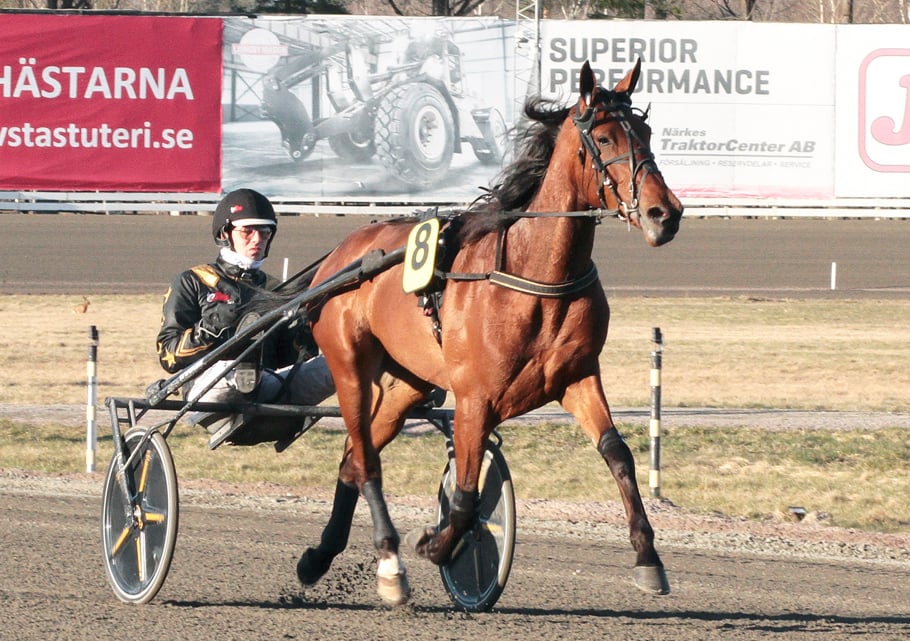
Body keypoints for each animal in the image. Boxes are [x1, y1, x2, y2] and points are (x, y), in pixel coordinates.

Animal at [289, 60, 683, 605]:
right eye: (604, 138)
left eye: (644, 133)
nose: (665, 213)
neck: (536, 273)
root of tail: (342, 254)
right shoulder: (475, 396)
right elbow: (467, 491)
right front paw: (439, 546)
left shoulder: (577, 377)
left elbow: (618, 454)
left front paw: (649, 557)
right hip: (349, 365)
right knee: (364, 459)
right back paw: (390, 563)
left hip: (408, 383)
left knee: (352, 457)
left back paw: (320, 556)